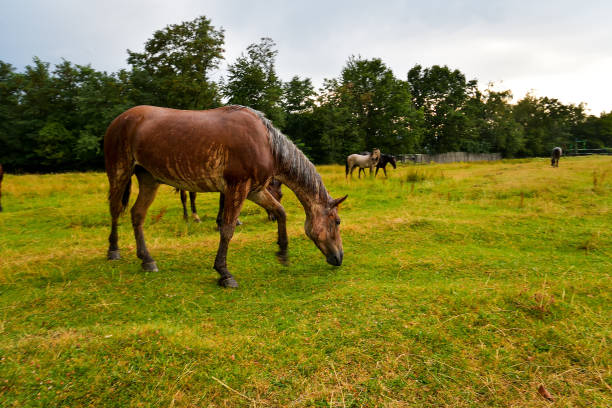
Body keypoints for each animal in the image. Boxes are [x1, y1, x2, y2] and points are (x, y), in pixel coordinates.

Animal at [103, 105, 346, 286]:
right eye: (337, 221)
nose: (339, 257)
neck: (265, 142)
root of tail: (119, 120)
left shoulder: (255, 191)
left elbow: (280, 212)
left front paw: (283, 252)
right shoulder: (237, 188)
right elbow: (227, 228)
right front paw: (224, 273)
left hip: (148, 179)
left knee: (137, 215)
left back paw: (147, 260)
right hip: (119, 172)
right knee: (115, 209)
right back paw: (113, 250)